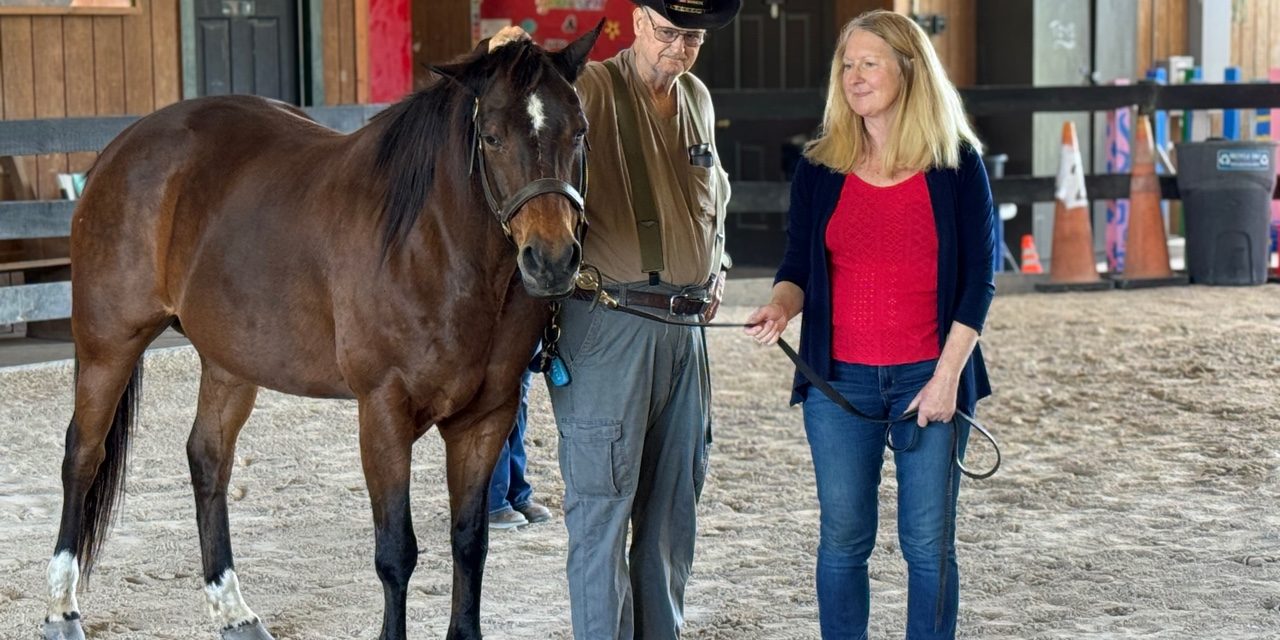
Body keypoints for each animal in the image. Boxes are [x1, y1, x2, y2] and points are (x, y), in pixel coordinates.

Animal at [41, 26, 600, 640]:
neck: (433, 244)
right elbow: (396, 552)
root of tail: (121, 148)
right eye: (494, 137)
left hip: (229, 361)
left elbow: (470, 544)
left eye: (580, 131)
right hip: (108, 344)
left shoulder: (485, 419)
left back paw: (233, 611)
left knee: (208, 460)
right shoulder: (382, 412)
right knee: (82, 456)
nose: (552, 260)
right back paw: (62, 608)